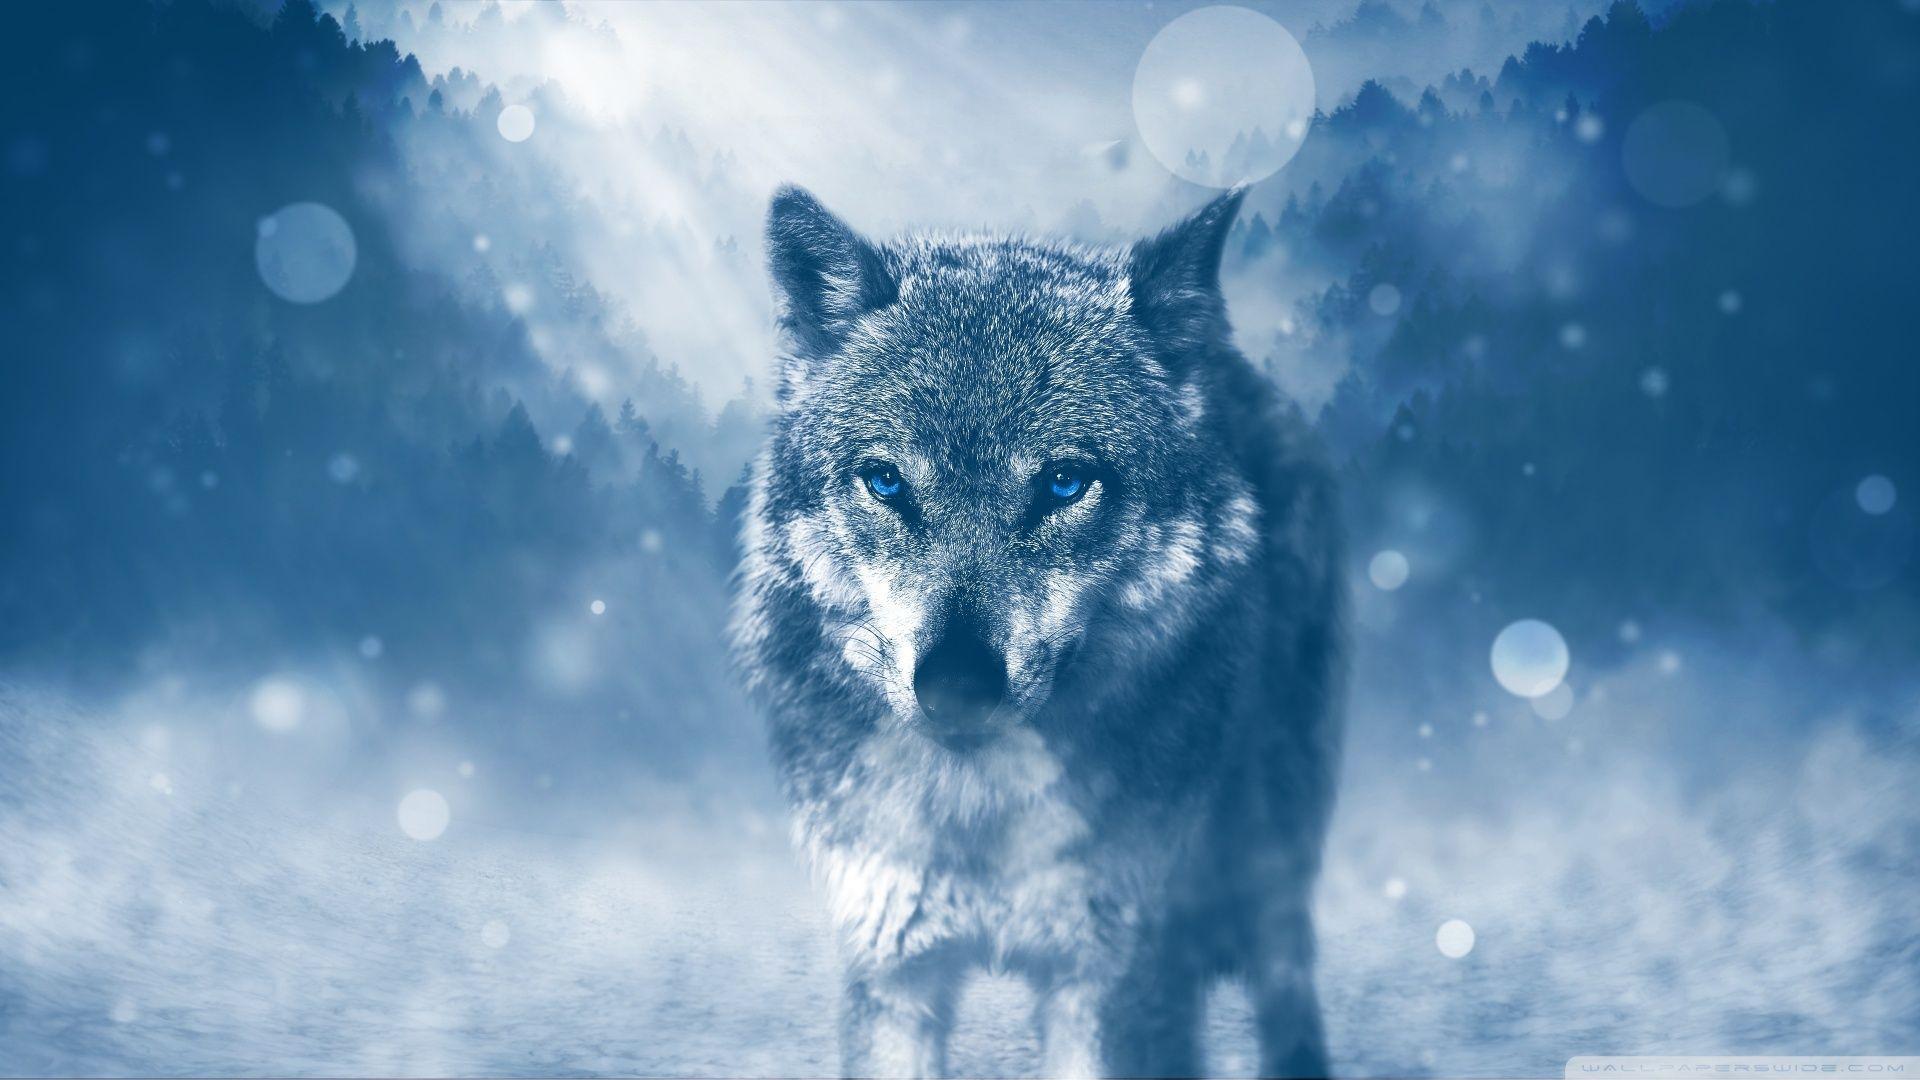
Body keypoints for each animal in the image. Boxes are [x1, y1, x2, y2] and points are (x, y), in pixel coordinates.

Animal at [730, 184, 1345, 1079]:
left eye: (1063, 483)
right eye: (886, 481)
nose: (956, 685)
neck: (980, 814)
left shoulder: (1111, 978)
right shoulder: (892, 967)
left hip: (1269, 850)